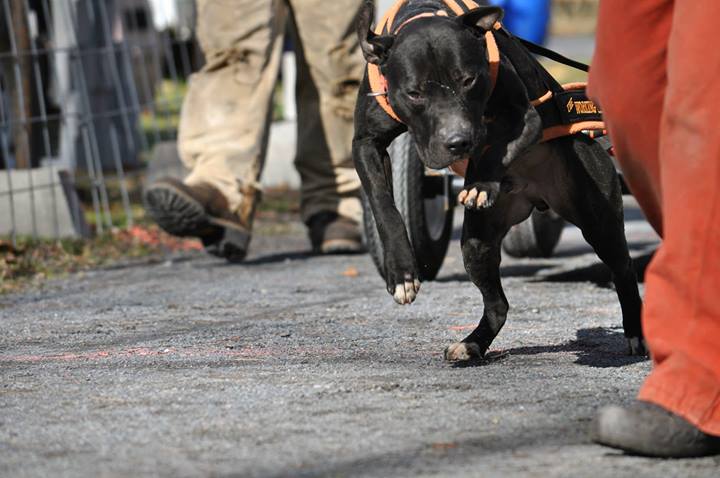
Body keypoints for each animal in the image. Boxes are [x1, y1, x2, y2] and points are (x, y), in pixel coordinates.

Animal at [352, 0, 644, 358]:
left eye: (468, 80)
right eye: (414, 93)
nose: (458, 141)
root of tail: (536, 198)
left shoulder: (525, 119)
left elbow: (494, 148)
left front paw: (479, 184)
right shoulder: (366, 143)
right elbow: (383, 204)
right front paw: (403, 273)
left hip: (598, 217)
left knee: (623, 269)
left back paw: (635, 334)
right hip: (478, 244)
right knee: (498, 305)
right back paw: (471, 344)